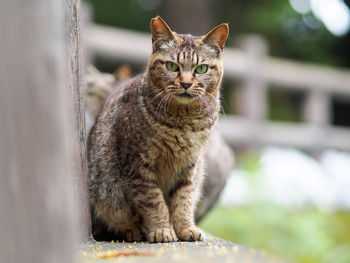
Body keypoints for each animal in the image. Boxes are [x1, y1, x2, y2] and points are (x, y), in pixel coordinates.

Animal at [87, 16, 230, 243]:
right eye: (172, 66)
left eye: (201, 69)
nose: (186, 83)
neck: (184, 122)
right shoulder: (139, 165)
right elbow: (155, 203)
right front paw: (161, 230)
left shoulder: (189, 166)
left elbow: (184, 200)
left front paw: (185, 228)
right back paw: (134, 230)